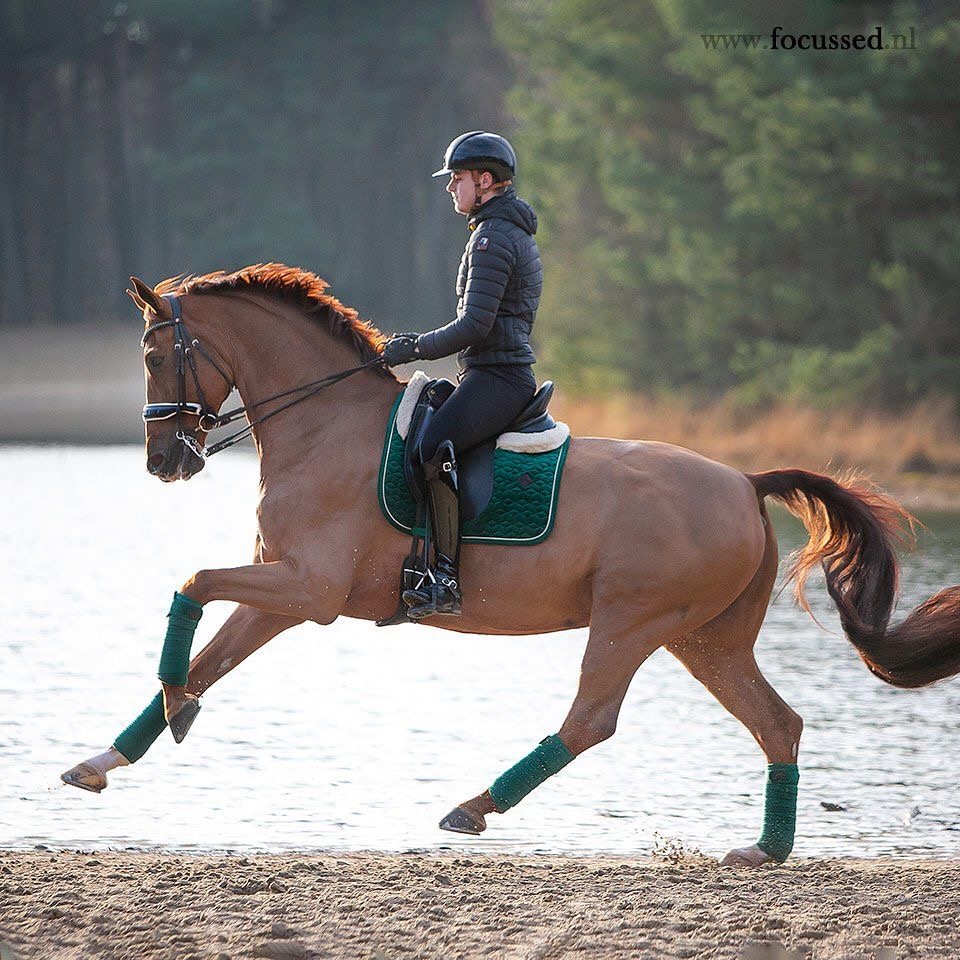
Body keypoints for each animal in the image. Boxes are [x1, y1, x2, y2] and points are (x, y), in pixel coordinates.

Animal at [62, 263, 960, 867]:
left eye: (153, 356)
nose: (163, 462)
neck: (324, 427)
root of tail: (745, 481)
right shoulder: (281, 594)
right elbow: (208, 656)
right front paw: (114, 755)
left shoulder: (307, 590)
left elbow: (190, 586)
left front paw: (172, 706)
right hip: (705, 639)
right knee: (778, 724)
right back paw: (764, 850)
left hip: (633, 620)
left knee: (592, 719)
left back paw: (473, 807)